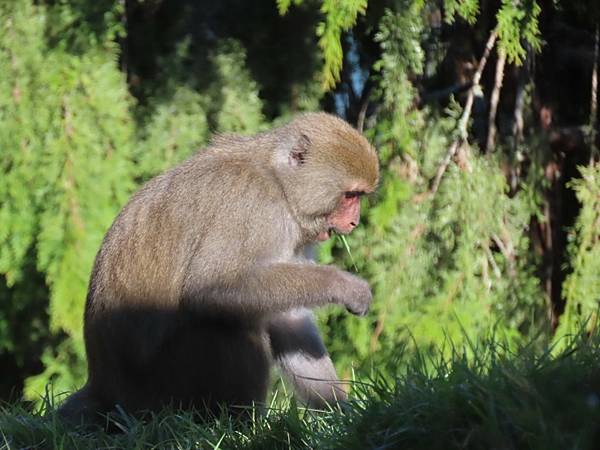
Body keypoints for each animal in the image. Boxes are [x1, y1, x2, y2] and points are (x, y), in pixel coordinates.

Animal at [59, 110, 380, 424]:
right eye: (350, 196)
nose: (354, 222)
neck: (279, 184)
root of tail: (104, 389)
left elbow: (288, 318)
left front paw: (338, 411)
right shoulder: (252, 207)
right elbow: (211, 286)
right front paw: (345, 287)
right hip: (163, 394)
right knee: (227, 321)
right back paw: (243, 426)